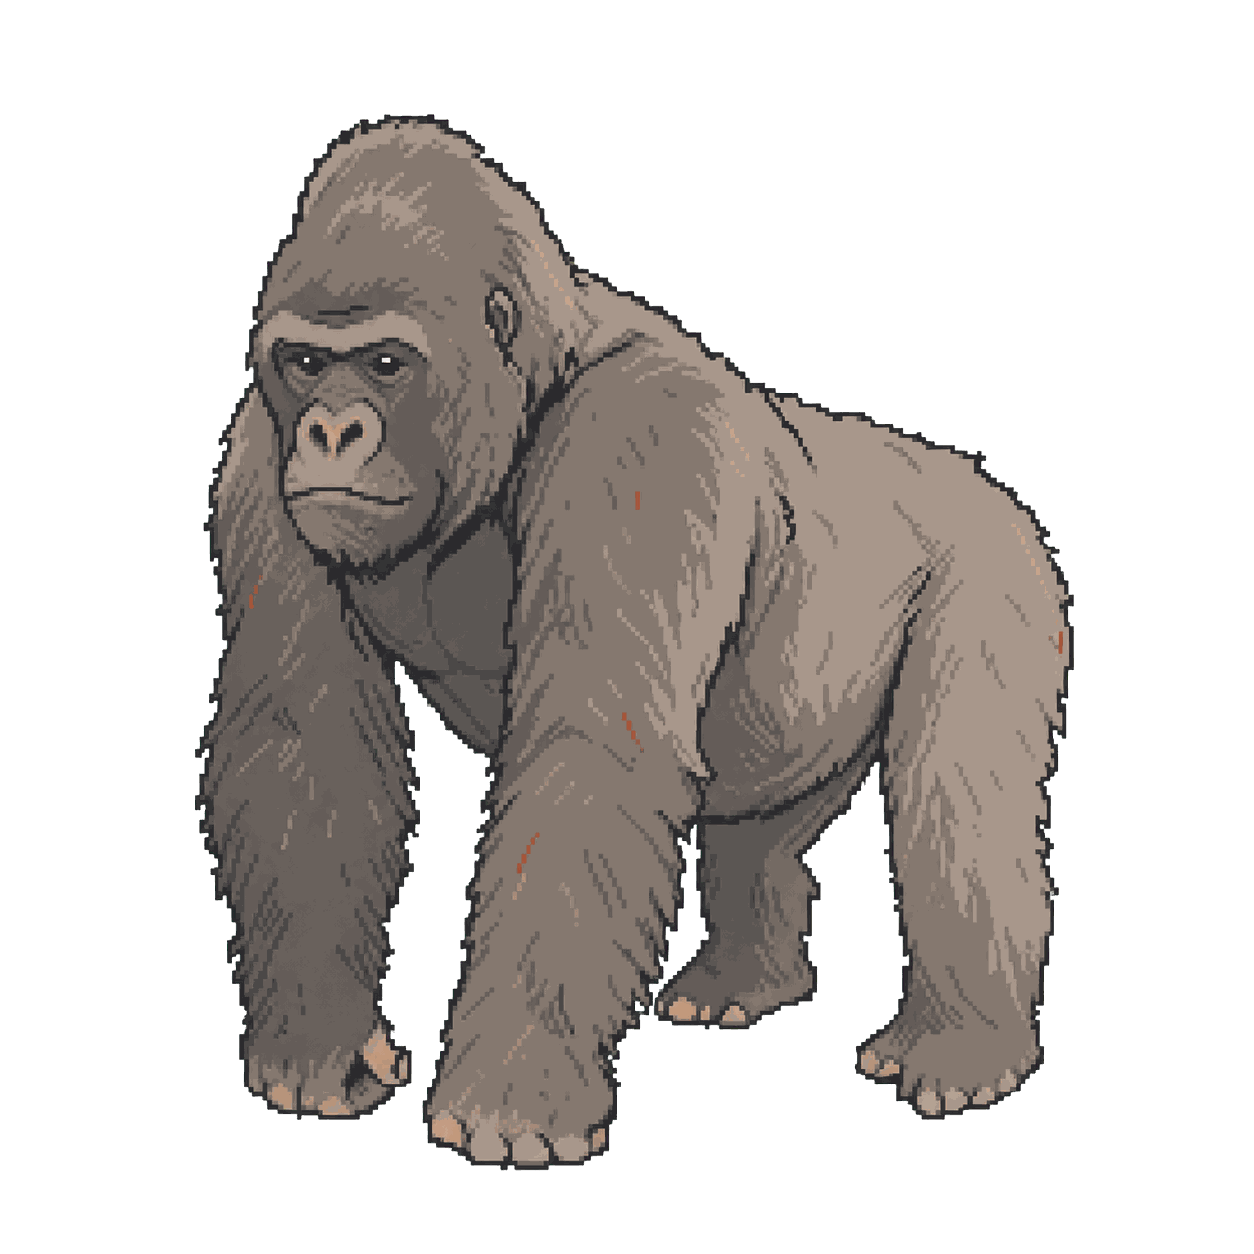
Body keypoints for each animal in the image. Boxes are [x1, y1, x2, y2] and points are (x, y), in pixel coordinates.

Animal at [201, 118, 1070, 1163]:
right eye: (301, 365)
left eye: (383, 366)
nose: (330, 432)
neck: (528, 388)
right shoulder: (261, 451)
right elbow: (304, 740)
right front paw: (318, 1046)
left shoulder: (643, 436)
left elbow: (589, 751)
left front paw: (514, 1095)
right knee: (757, 826)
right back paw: (747, 976)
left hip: (999, 560)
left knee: (959, 791)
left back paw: (966, 1046)